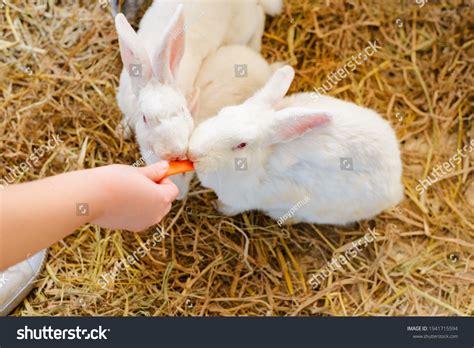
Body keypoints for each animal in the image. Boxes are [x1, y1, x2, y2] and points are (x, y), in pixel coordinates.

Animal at [115, 1, 282, 198]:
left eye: (182, 109)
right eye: (145, 118)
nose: (175, 152)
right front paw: (122, 130)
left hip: (242, 27)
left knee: (259, 16)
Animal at [188, 65, 404, 226]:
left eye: (241, 145)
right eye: (222, 112)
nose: (193, 154)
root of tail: (396, 183)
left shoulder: (241, 200)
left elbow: (231, 207)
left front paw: (218, 207)